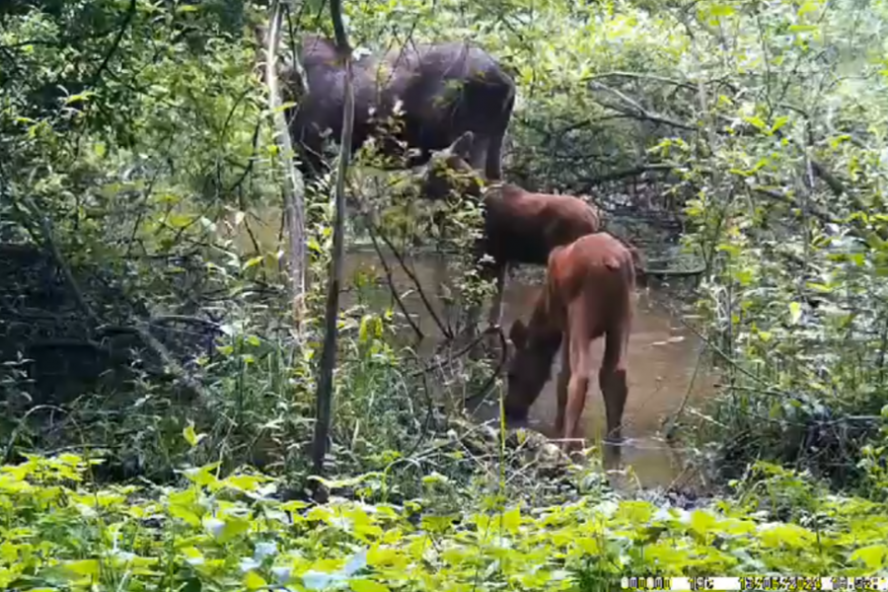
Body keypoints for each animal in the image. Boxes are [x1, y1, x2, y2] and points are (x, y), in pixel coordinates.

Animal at [502, 231, 636, 462]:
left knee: (580, 377)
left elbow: (561, 377)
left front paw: (557, 426)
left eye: (512, 374)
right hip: (623, 316)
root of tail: (613, 262)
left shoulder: (564, 325)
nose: (509, 409)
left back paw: (566, 445)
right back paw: (614, 443)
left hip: (581, 312)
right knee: (615, 374)